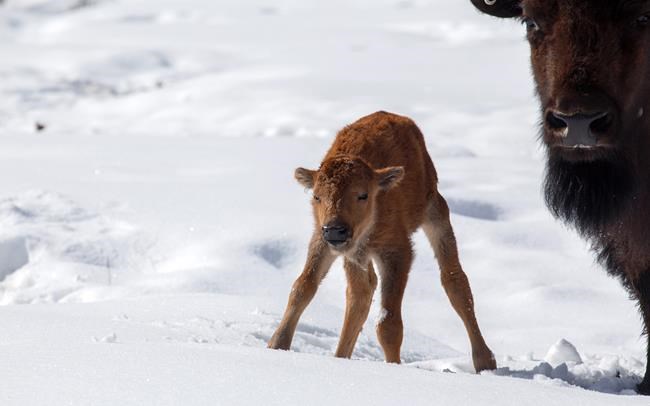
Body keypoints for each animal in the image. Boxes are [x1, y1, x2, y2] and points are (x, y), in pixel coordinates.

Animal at [267, 111, 496, 372]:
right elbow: (302, 288)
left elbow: (388, 323)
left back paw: (485, 362)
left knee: (455, 281)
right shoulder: (323, 243)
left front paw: (393, 365)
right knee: (360, 294)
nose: (335, 230)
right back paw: (340, 356)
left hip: (435, 212)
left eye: (362, 195)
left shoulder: (396, 252)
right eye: (316, 196)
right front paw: (276, 345)